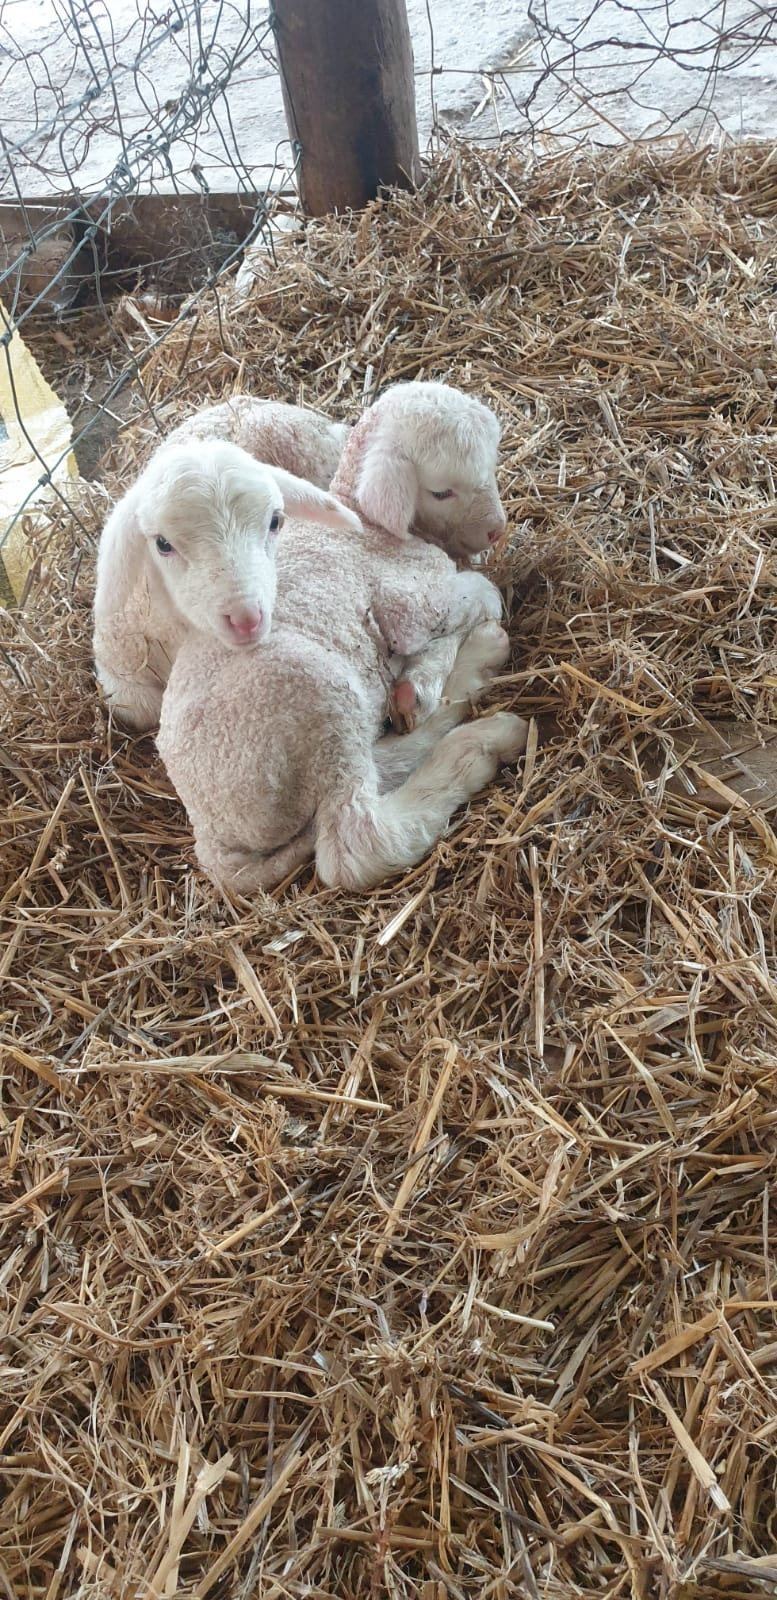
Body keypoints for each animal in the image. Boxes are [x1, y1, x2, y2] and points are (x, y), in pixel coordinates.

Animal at [157, 380, 527, 894]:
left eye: (490, 467)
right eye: (442, 491)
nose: (496, 530)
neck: (366, 523)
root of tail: (212, 832)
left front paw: (418, 685)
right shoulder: (408, 603)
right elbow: (480, 597)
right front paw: (426, 675)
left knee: (375, 768)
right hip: (317, 697)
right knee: (355, 843)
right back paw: (479, 739)